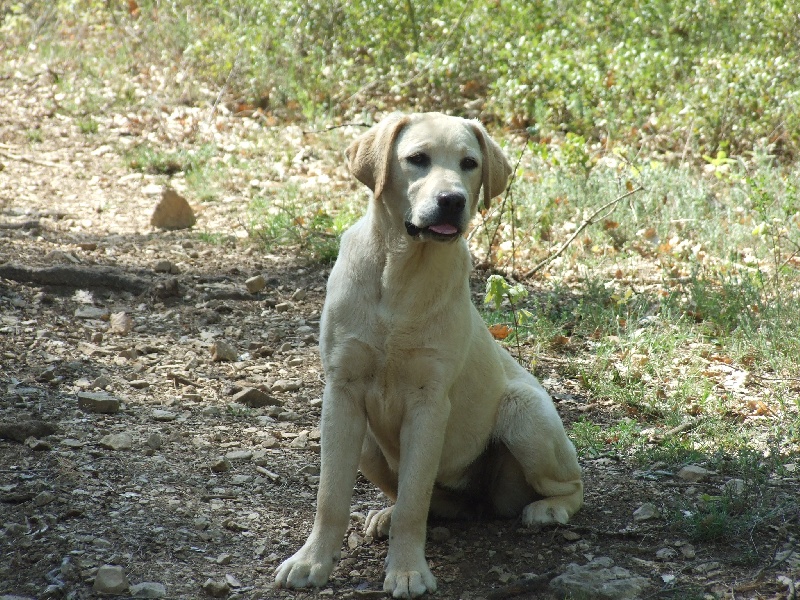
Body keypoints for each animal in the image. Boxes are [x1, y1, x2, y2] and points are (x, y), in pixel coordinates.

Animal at [276, 111, 580, 596]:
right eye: (417, 158)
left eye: (469, 163)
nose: (452, 200)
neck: (401, 271)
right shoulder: (342, 393)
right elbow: (331, 495)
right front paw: (312, 561)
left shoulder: (429, 403)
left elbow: (413, 503)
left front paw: (406, 571)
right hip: (369, 445)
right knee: (428, 501)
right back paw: (388, 515)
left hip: (525, 412)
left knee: (572, 484)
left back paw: (548, 509)